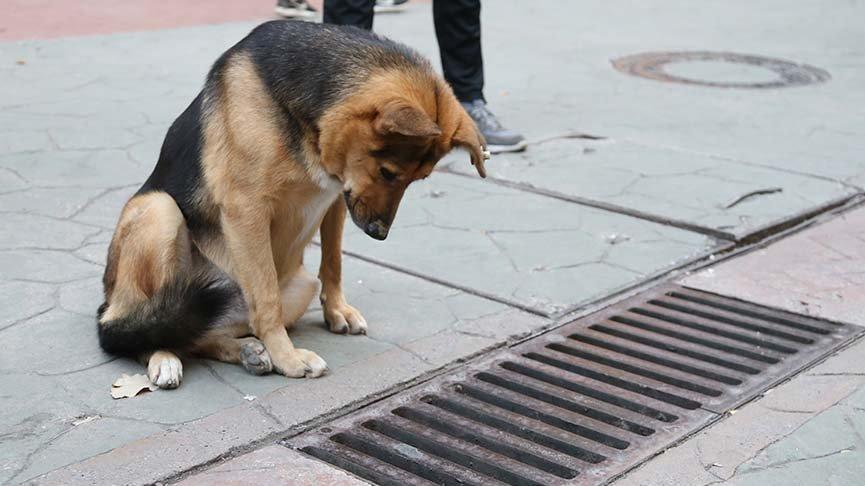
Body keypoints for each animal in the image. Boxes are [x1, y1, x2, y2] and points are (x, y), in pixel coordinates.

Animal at [96, 20, 486, 388]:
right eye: (388, 172)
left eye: (417, 180)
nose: (379, 234)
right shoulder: (247, 208)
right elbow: (267, 298)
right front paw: (288, 358)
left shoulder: (337, 197)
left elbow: (333, 261)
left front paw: (337, 311)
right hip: (159, 211)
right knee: (133, 331)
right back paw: (164, 356)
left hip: (297, 287)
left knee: (199, 335)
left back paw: (247, 351)